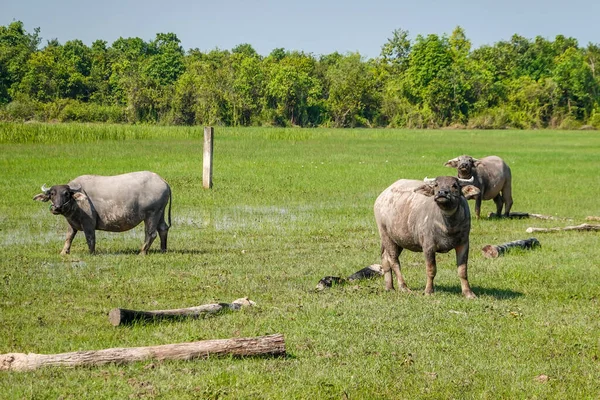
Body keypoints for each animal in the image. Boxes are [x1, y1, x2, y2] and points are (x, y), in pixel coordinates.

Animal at [33, 171, 171, 253]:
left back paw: (142, 252)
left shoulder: (88, 222)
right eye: (52, 194)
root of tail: (163, 181)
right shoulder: (71, 223)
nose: (57, 208)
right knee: (163, 228)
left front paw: (91, 253)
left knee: (151, 233)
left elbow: (90, 238)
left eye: (66, 194)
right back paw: (163, 250)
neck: (77, 202)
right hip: (160, 212)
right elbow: (69, 237)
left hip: (152, 214)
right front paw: (63, 252)